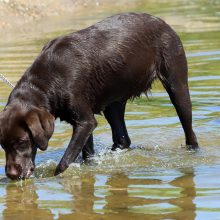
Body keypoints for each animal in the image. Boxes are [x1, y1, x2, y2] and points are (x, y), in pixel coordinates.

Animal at [0, 12, 199, 180]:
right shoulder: (83, 123)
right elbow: (86, 154)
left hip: (178, 88)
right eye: (3, 145)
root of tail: (162, 22)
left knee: (190, 132)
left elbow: (64, 162)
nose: (11, 175)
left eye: (22, 142)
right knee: (123, 138)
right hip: (113, 104)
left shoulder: (85, 121)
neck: (45, 83)